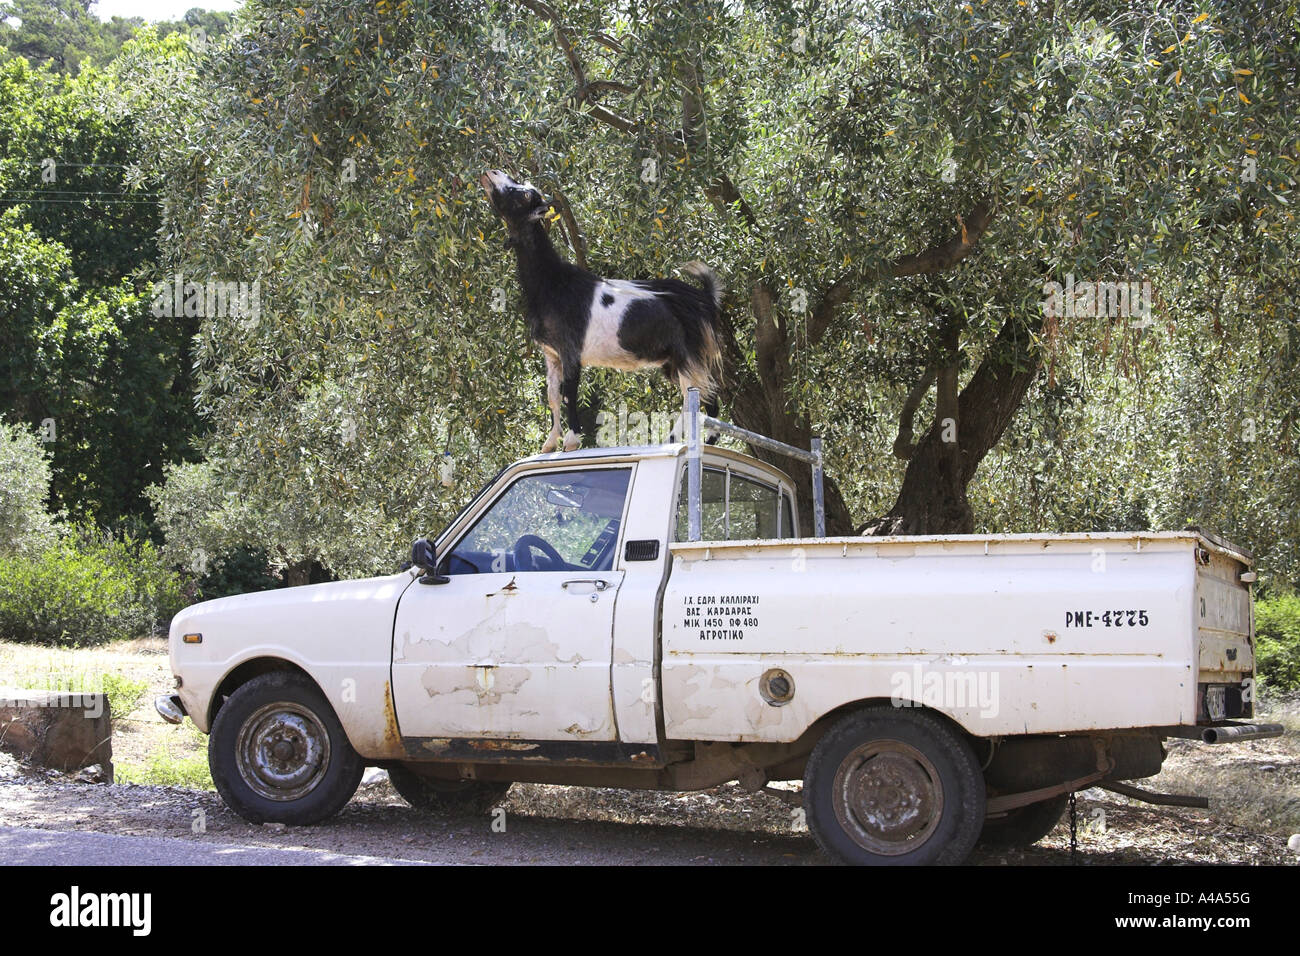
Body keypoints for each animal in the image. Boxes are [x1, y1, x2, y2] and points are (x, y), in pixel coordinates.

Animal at [480, 170, 722, 455]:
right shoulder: (551, 354)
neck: (553, 282)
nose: (492, 173)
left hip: (690, 355)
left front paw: (571, 440)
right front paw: (550, 442)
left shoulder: (570, 349)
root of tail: (704, 297)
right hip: (673, 361)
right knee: (707, 397)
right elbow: (552, 395)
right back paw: (702, 442)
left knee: (695, 396)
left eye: (526, 194)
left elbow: (569, 393)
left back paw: (681, 439)